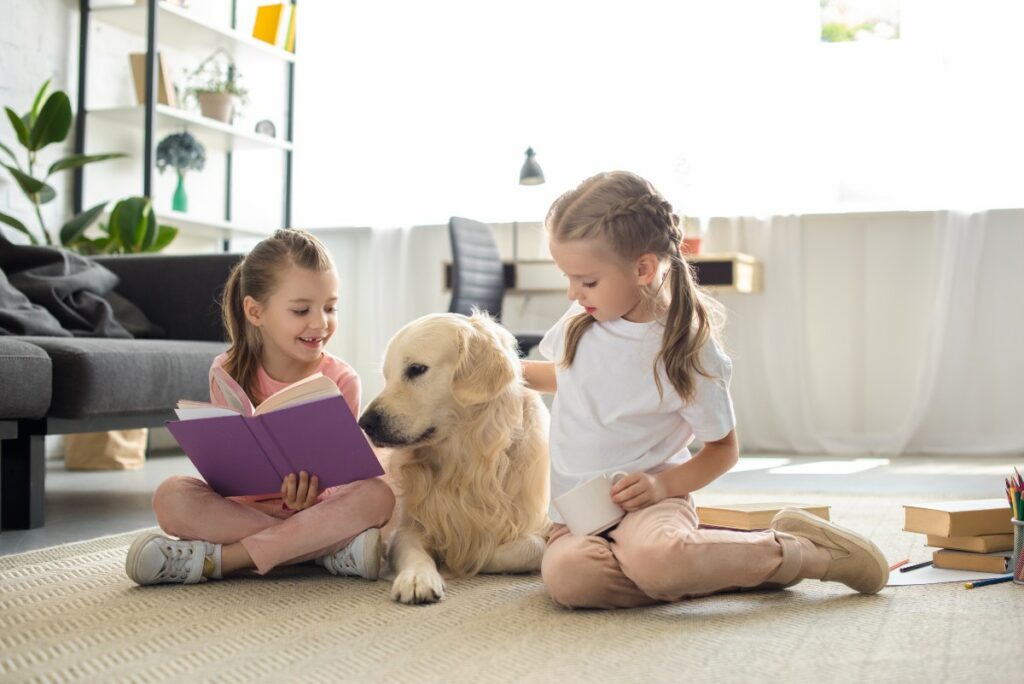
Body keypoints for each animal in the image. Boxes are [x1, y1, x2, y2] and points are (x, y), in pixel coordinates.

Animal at [360, 311, 552, 602]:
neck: (463, 458)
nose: (364, 423)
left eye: (416, 369)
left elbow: (532, 547)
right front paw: (418, 577)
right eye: (387, 376)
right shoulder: (408, 528)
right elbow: (412, 551)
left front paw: (463, 559)